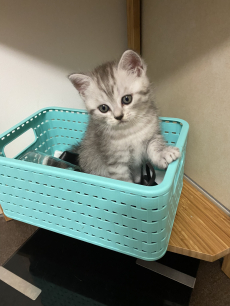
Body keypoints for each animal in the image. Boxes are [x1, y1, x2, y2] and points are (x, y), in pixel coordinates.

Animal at [68, 50, 180, 183]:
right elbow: (124, 180)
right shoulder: (116, 162)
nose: (119, 116)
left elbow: (155, 145)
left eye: (127, 99)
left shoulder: (152, 134)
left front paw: (163, 153)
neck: (130, 130)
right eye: (103, 108)